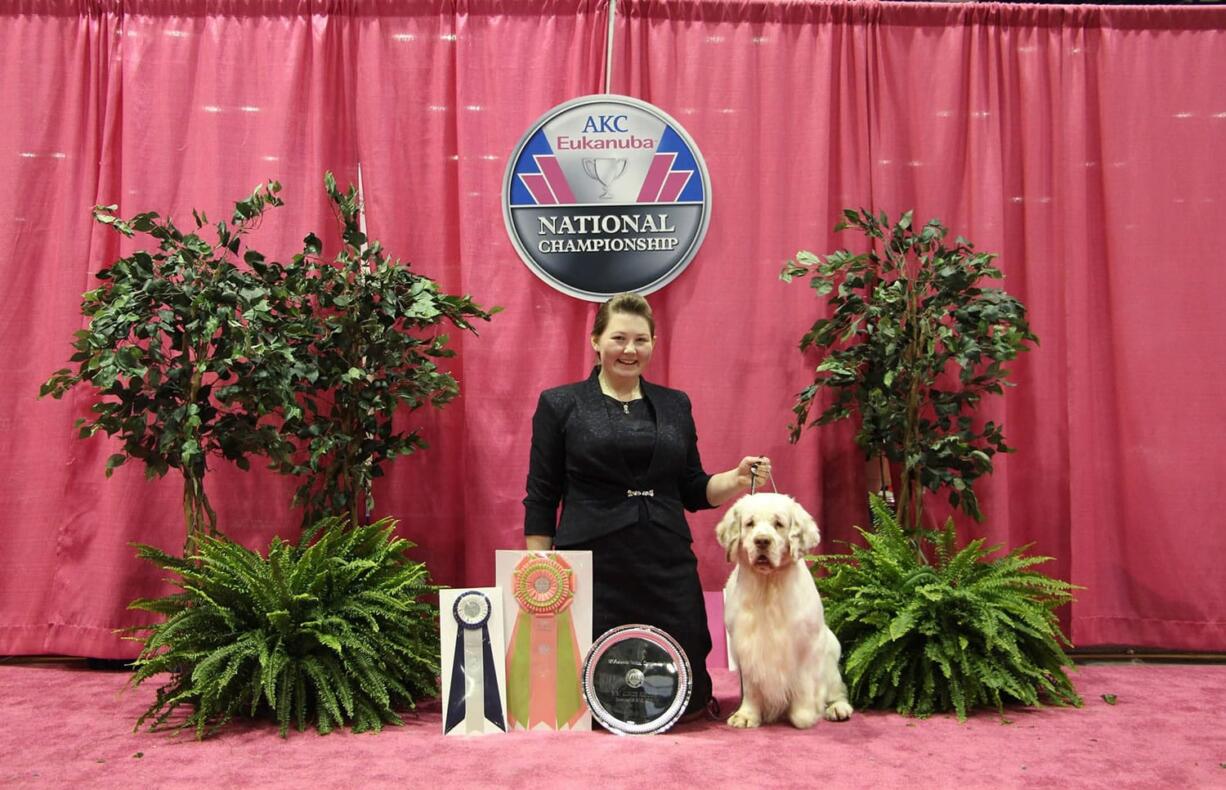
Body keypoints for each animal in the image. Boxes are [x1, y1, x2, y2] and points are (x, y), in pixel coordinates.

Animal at [715, 493, 853, 726]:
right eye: (750, 523)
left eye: (778, 524)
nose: (762, 540)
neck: (768, 584)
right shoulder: (746, 646)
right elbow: (751, 687)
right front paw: (746, 716)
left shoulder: (806, 645)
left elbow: (804, 686)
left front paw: (805, 716)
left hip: (830, 659)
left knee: (837, 691)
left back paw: (838, 709)